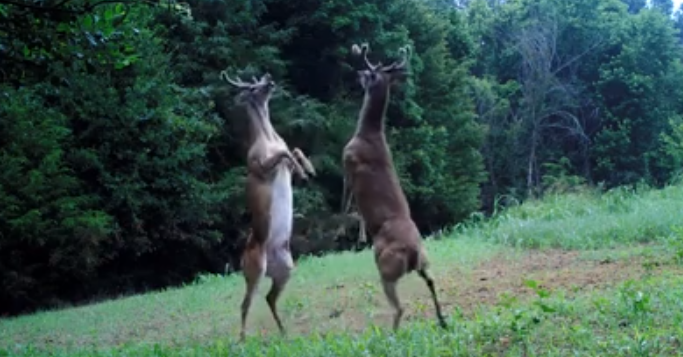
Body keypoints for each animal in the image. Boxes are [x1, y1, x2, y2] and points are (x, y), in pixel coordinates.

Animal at [223, 71, 320, 340]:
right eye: (253, 87)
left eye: (257, 80)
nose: (268, 77)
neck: (268, 138)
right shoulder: (261, 165)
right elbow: (284, 154)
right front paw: (304, 170)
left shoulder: (283, 156)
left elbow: (294, 149)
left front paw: (308, 170)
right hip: (255, 270)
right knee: (245, 303)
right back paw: (242, 338)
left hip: (286, 268)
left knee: (269, 298)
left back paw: (284, 331)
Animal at [342, 43, 448, 330]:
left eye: (369, 72)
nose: (357, 73)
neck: (368, 133)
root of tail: (413, 252)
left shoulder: (347, 160)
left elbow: (346, 198)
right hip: (425, 261)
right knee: (432, 280)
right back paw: (443, 320)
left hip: (386, 268)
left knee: (400, 307)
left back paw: (392, 332)